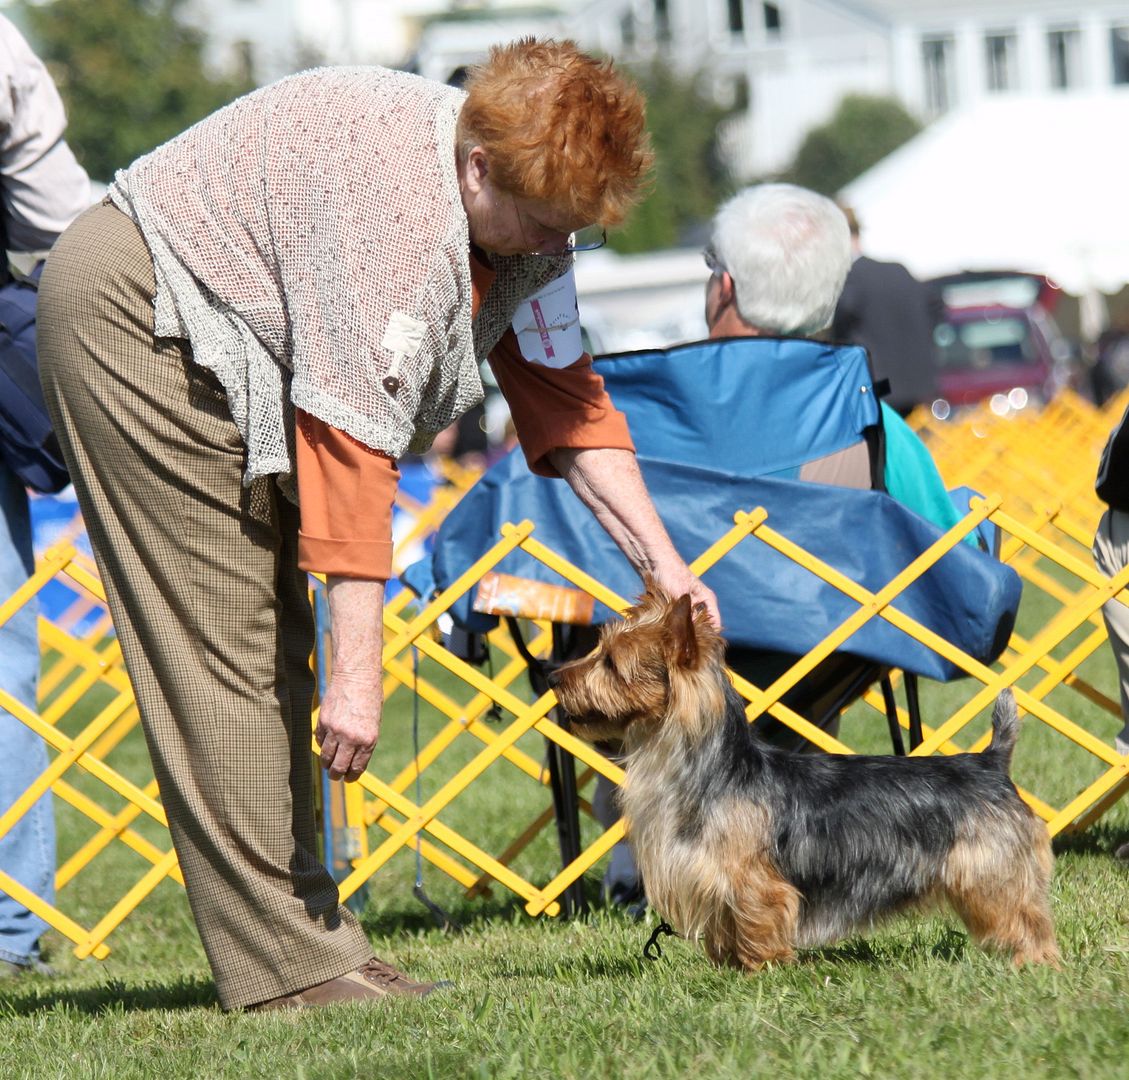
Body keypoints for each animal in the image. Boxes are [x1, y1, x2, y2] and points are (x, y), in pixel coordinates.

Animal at [550, 582, 1061, 970]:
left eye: (611, 663)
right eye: (597, 650)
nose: (553, 677)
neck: (715, 772)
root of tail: (990, 761)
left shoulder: (755, 883)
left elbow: (756, 922)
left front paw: (758, 972)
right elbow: (727, 929)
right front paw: (730, 969)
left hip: (989, 874)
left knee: (1027, 919)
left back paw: (1035, 965)